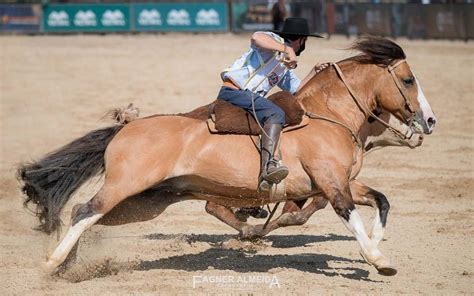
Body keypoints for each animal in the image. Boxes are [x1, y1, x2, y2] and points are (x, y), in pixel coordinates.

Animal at [18, 36, 436, 276]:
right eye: (408, 79)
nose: (429, 121)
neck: (326, 116)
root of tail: (126, 128)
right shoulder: (330, 185)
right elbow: (350, 216)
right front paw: (379, 260)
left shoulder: (341, 181)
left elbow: (381, 200)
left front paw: (376, 246)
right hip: (127, 186)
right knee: (86, 211)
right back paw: (52, 263)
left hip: (146, 202)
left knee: (84, 213)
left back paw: (69, 266)